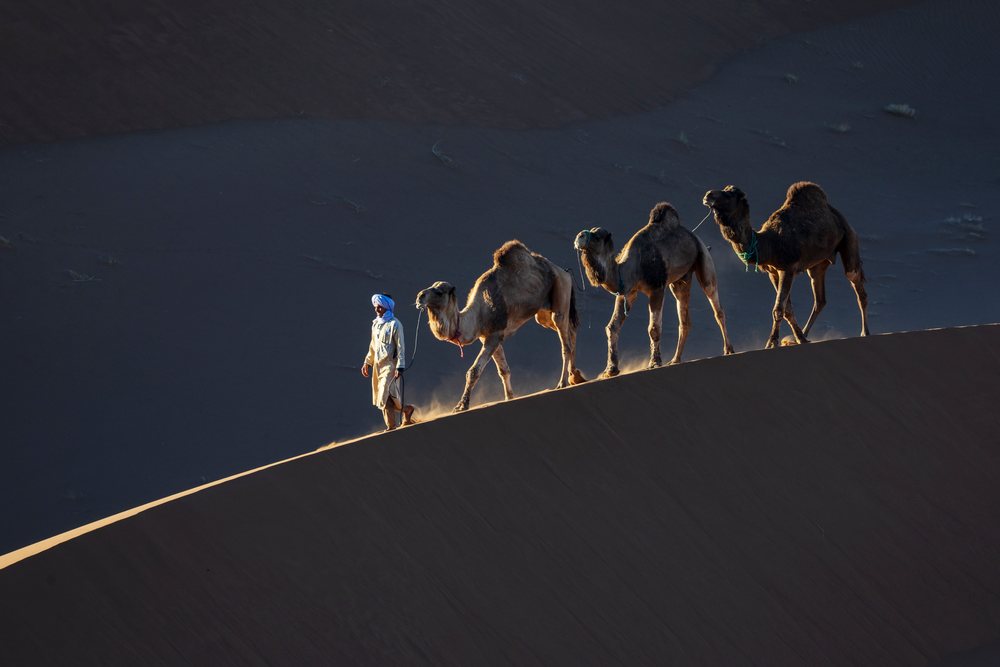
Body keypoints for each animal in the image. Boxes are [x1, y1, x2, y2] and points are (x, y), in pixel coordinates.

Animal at [415, 240, 586, 412]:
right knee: (570, 330)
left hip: (560, 289)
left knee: (565, 341)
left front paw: (461, 405)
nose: (419, 296)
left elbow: (474, 371)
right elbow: (504, 370)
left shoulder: (495, 335)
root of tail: (563, 271)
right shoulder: (488, 336)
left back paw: (562, 383)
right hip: (543, 313)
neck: (477, 315)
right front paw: (509, 398)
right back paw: (575, 376)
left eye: (439, 292)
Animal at [573, 202, 734, 378]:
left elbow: (654, 328)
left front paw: (654, 363)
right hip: (680, 280)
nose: (579, 236)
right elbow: (612, 327)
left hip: (704, 260)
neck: (631, 266)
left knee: (717, 307)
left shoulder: (656, 288)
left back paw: (728, 349)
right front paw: (610, 370)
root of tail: (693, 236)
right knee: (684, 318)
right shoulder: (627, 293)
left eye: (596, 237)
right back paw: (675, 360)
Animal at [702, 182, 869, 349]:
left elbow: (778, 309)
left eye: (729, 194)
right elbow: (788, 309)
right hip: (817, 265)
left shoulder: (787, 269)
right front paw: (798, 338)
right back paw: (803, 335)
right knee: (820, 299)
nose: (708, 195)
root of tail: (837, 214)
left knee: (858, 287)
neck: (769, 243)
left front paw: (772, 342)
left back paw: (864, 332)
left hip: (849, 239)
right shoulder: (773, 272)